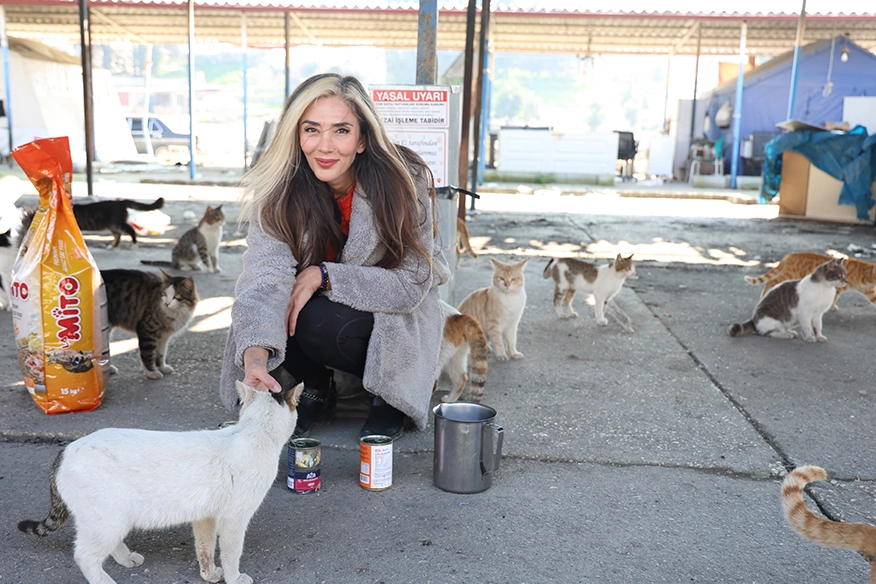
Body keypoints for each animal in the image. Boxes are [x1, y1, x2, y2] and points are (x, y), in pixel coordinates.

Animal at [18, 380, 304, 584]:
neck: (255, 432)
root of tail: (67, 449)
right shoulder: (233, 519)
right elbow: (231, 554)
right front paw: (234, 578)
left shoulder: (205, 517)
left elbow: (205, 549)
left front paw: (210, 575)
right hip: (108, 520)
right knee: (85, 557)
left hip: (111, 521)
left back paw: (126, 558)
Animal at [744, 253, 876, 312]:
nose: (846, 280)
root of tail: (789, 255)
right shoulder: (837, 287)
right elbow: (833, 298)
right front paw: (830, 307)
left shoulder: (870, 292)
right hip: (787, 275)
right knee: (771, 282)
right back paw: (764, 295)